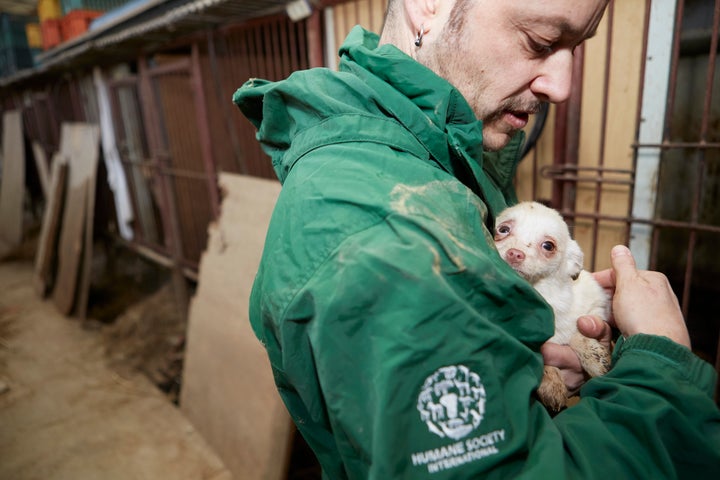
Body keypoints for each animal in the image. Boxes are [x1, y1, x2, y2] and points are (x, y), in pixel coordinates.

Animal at [498, 201, 612, 410]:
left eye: (548, 245)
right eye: (503, 230)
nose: (514, 253)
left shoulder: (596, 306)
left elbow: (576, 332)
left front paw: (595, 358)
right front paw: (552, 383)